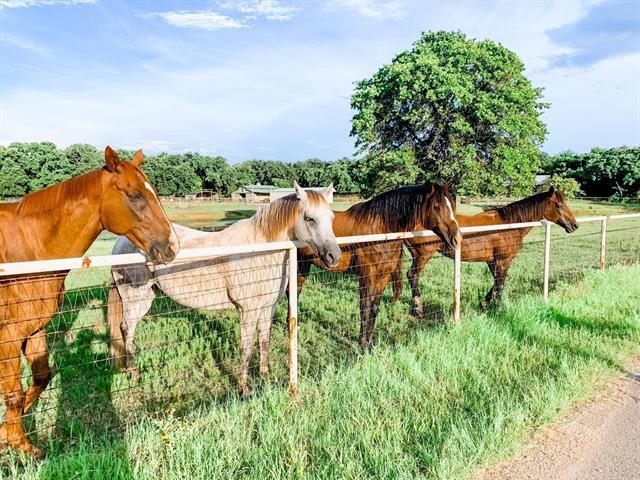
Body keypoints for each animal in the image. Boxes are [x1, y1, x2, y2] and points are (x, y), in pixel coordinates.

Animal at [0, 147, 176, 458]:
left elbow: (41, 377)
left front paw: (5, 435)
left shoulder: (34, 330)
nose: (171, 247)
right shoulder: (8, 335)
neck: (29, 250)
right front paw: (21, 445)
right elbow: (12, 394)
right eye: (134, 195)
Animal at [109, 184, 340, 398]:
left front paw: (265, 375)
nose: (334, 257)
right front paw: (244, 389)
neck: (258, 250)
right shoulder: (248, 310)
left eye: (331, 217)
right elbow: (246, 348)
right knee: (127, 330)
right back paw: (134, 374)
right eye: (309, 218)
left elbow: (264, 340)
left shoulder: (268, 307)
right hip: (138, 299)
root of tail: (120, 242)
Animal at [296, 183, 460, 348]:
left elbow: (374, 307)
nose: (456, 239)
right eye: (436, 206)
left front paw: (369, 344)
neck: (378, 231)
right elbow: (365, 307)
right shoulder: (367, 275)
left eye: (452, 205)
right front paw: (362, 345)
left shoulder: (384, 275)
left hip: (302, 267)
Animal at [396, 188, 580, 318]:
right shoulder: (503, 261)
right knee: (412, 275)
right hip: (422, 256)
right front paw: (496, 308)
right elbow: (500, 283)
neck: (509, 224)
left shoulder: (493, 261)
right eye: (558, 205)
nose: (574, 225)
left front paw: (484, 303)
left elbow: (496, 282)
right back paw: (418, 310)